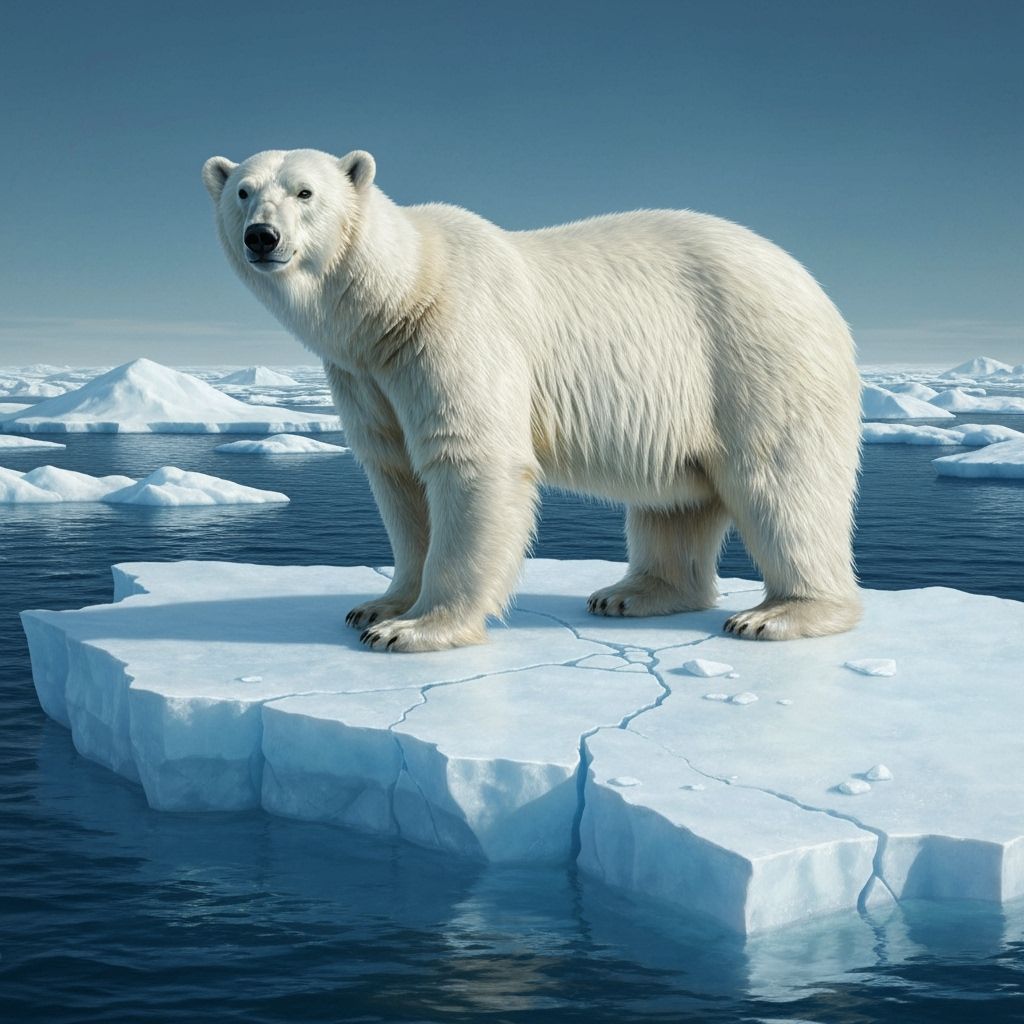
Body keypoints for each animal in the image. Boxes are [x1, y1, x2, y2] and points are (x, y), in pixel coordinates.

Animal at [203, 147, 862, 653]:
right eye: (243, 191)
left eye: (305, 192)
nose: (262, 236)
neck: (396, 299)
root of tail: (811, 284)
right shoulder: (365, 373)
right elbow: (396, 475)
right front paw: (377, 606)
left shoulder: (454, 330)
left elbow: (472, 458)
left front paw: (414, 629)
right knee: (677, 500)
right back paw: (631, 593)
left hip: (753, 359)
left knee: (781, 482)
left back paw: (780, 613)